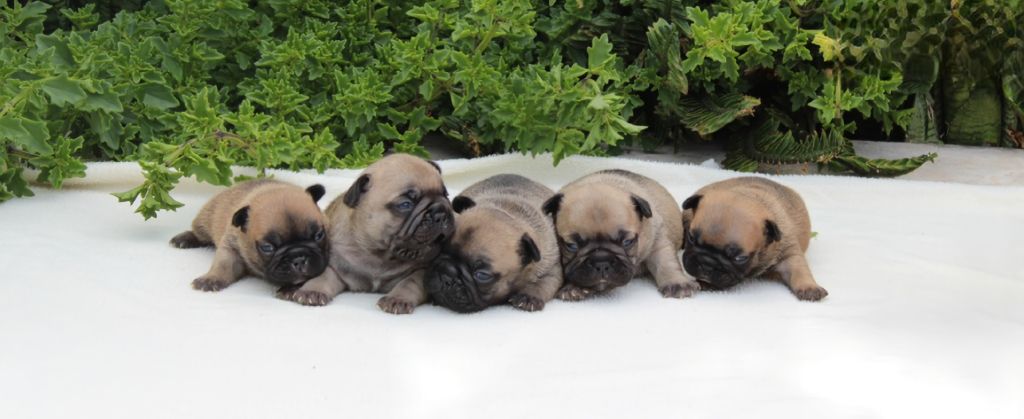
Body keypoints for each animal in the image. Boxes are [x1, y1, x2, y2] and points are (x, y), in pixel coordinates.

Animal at [169, 179, 325, 290]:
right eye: (267, 247)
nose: (299, 258)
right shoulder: (231, 247)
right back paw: (184, 239)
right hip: (205, 219)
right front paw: (211, 279)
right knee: (200, 233)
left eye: (319, 235)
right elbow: (223, 264)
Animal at [280, 153, 456, 313]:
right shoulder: (337, 267)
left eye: (446, 195)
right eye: (405, 204)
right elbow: (324, 276)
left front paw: (397, 298)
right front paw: (312, 291)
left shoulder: (421, 271)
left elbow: (410, 283)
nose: (441, 212)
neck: (380, 255)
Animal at [428, 174, 565, 313]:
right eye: (438, 252)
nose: (446, 276)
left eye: (482, 275)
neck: (508, 210)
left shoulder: (552, 268)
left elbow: (544, 283)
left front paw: (528, 297)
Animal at [540, 170, 700, 301]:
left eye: (627, 242)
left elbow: (666, 262)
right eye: (571, 246)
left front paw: (677, 283)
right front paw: (573, 288)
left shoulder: (657, 241)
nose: (601, 262)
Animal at [684, 176, 827, 301]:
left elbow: (799, 270)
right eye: (690, 238)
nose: (707, 264)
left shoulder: (789, 254)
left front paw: (809, 287)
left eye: (740, 258)